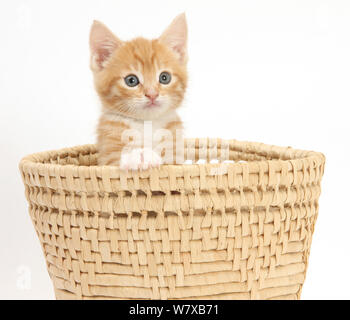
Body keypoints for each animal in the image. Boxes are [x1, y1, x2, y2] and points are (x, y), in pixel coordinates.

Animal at [90, 13, 189, 170]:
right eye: (131, 80)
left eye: (165, 77)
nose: (152, 94)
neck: (147, 124)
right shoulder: (106, 158)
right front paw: (140, 156)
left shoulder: (176, 157)